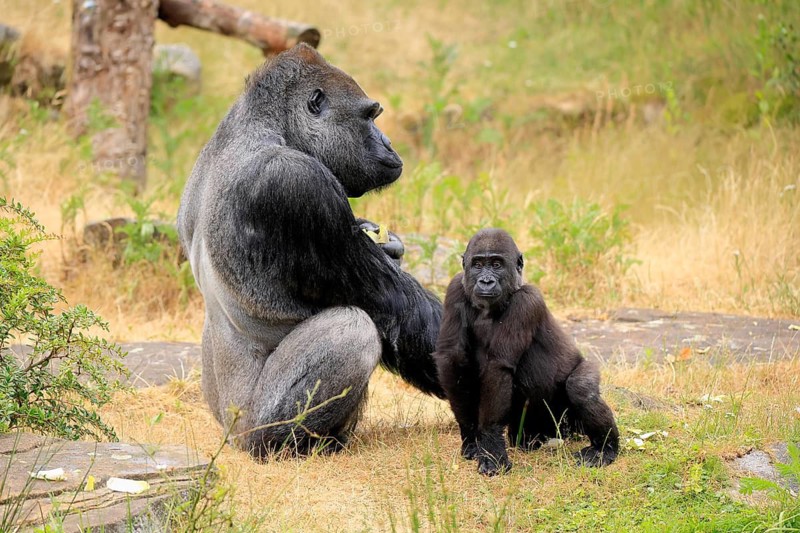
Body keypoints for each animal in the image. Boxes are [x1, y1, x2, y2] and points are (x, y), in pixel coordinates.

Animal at [177, 44, 445, 457]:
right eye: (370, 116)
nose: (389, 142)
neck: (267, 128)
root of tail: (230, 436)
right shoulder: (298, 183)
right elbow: (399, 308)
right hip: (251, 424)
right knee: (351, 331)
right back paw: (289, 445)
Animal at [434, 228, 619, 476]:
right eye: (478, 264)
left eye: (496, 264)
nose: (486, 281)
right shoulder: (455, 287)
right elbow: (453, 359)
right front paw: (471, 437)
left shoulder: (527, 301)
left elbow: (498, 366)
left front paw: (491, 447)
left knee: (581, 387)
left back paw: (605, 447)